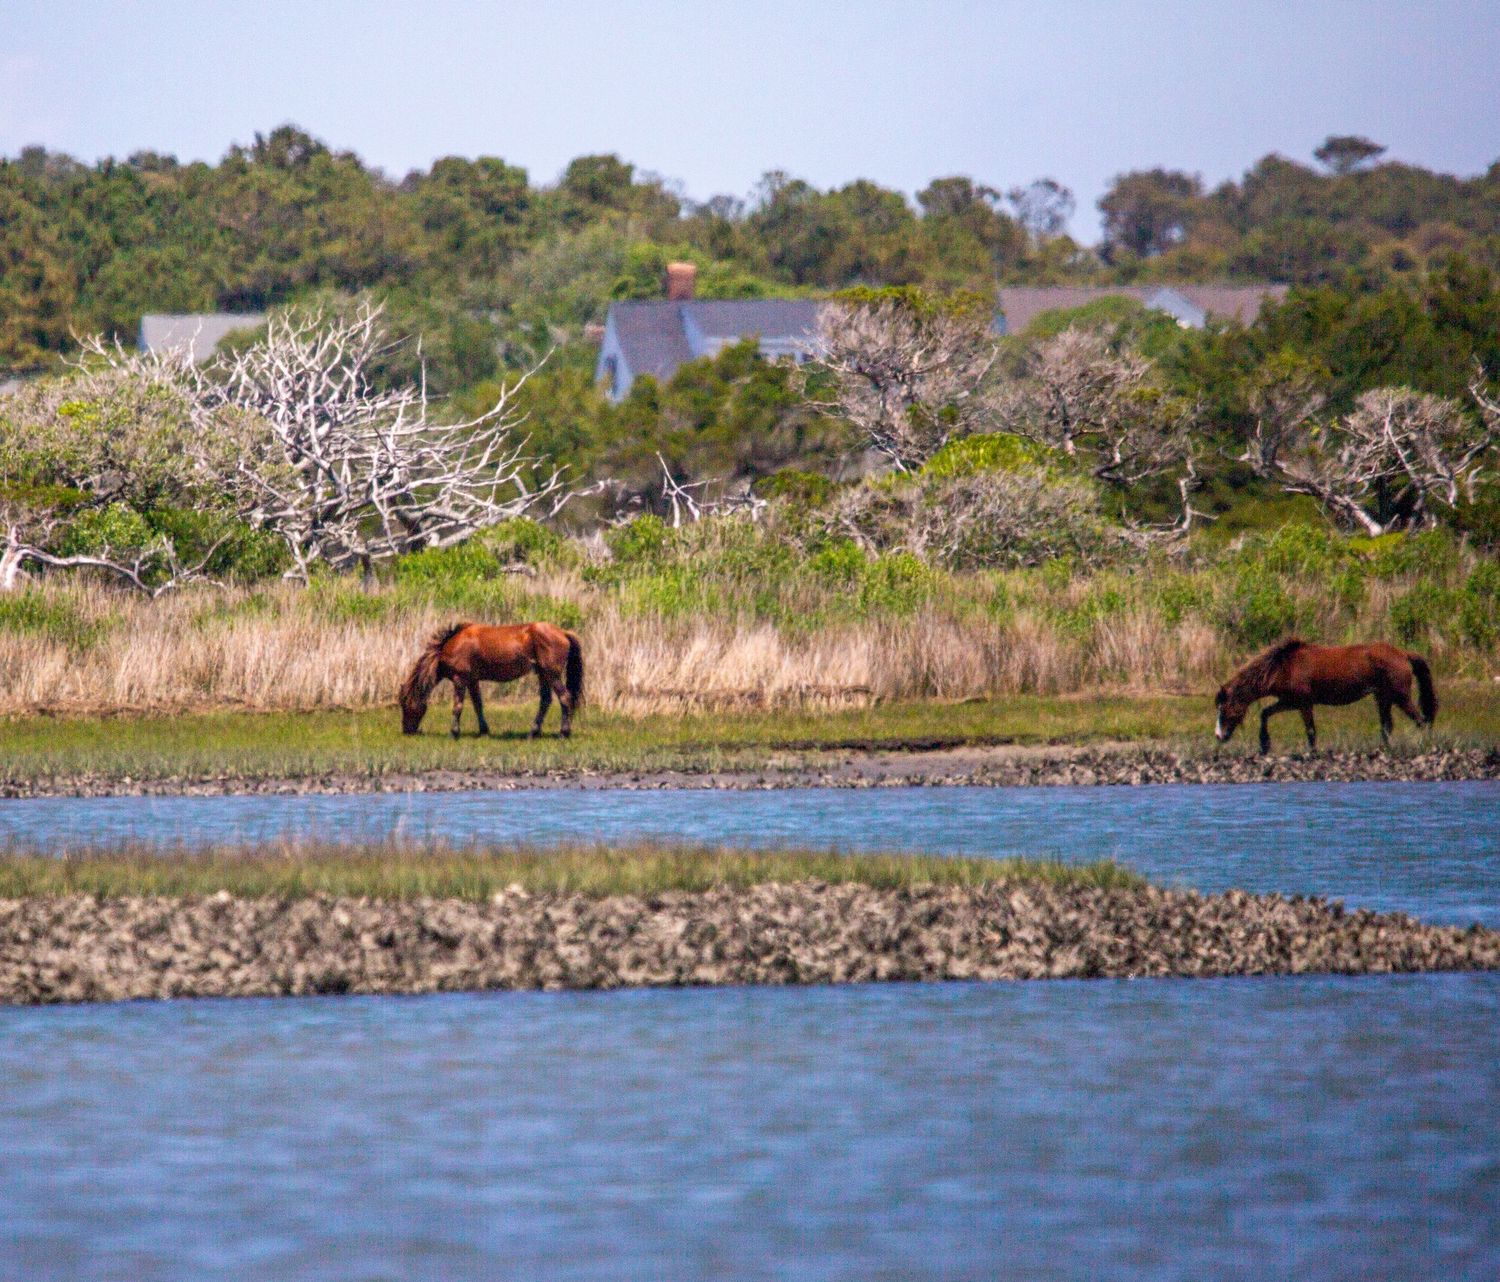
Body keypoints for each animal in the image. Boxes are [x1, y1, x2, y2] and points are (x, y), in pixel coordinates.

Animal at [398, 621, 584, 739]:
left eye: (405, 704)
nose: (406, 730)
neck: (451, 645)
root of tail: (563, 632)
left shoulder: (460, 680)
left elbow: (457, 707)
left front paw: (454, 732)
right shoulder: (472, 681)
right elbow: (477, 705)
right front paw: (483, 731)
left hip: (552, 675)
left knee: (565, 698)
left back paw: (563, 733)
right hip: (543, 675)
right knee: (545, 701)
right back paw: (533, 733)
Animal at [1214, 638, 1435, 754]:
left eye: (1224, 710)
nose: (1218, 736)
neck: (1283, 666)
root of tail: (1403, 654)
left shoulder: (1303, 704)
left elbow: (1311, 730)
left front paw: (1312, 752)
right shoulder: (1289, 702)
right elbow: (1265, 713)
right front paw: (1264, 745)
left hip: (1400, 696)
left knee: (1420, 720)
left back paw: (1424, 745)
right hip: (1383, 698)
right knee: (1387, 726)